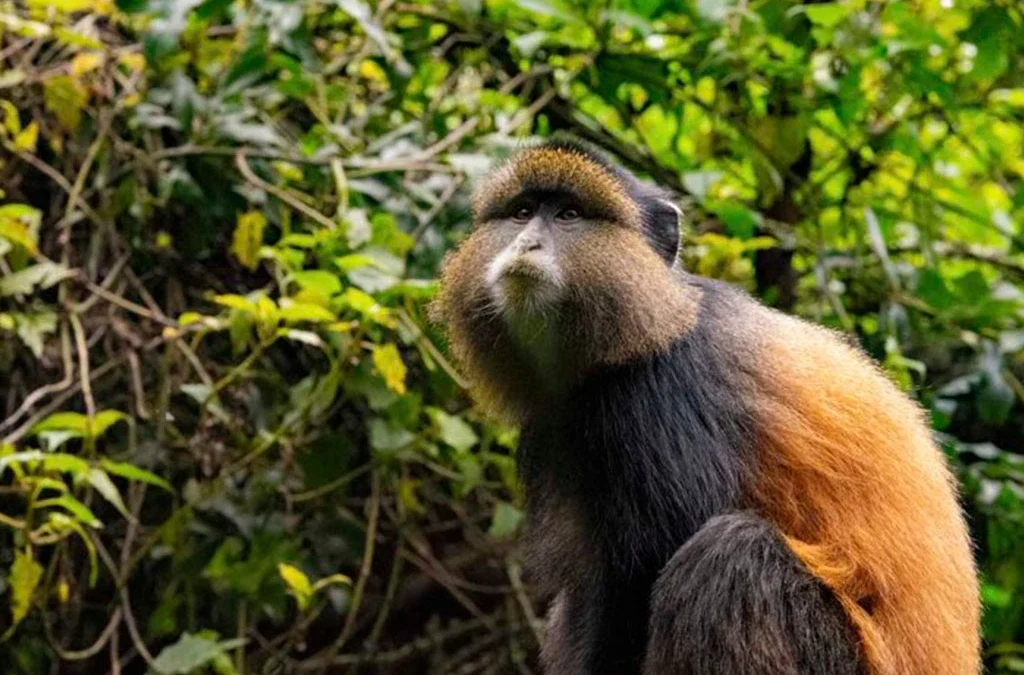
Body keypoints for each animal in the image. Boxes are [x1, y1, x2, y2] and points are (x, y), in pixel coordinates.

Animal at [432, 138, 980, 675]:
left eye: (569, 215)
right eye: (522, 212)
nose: (526, 244)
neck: (648, 323)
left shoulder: (658, 396)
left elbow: (641, 583)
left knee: (731, 558)